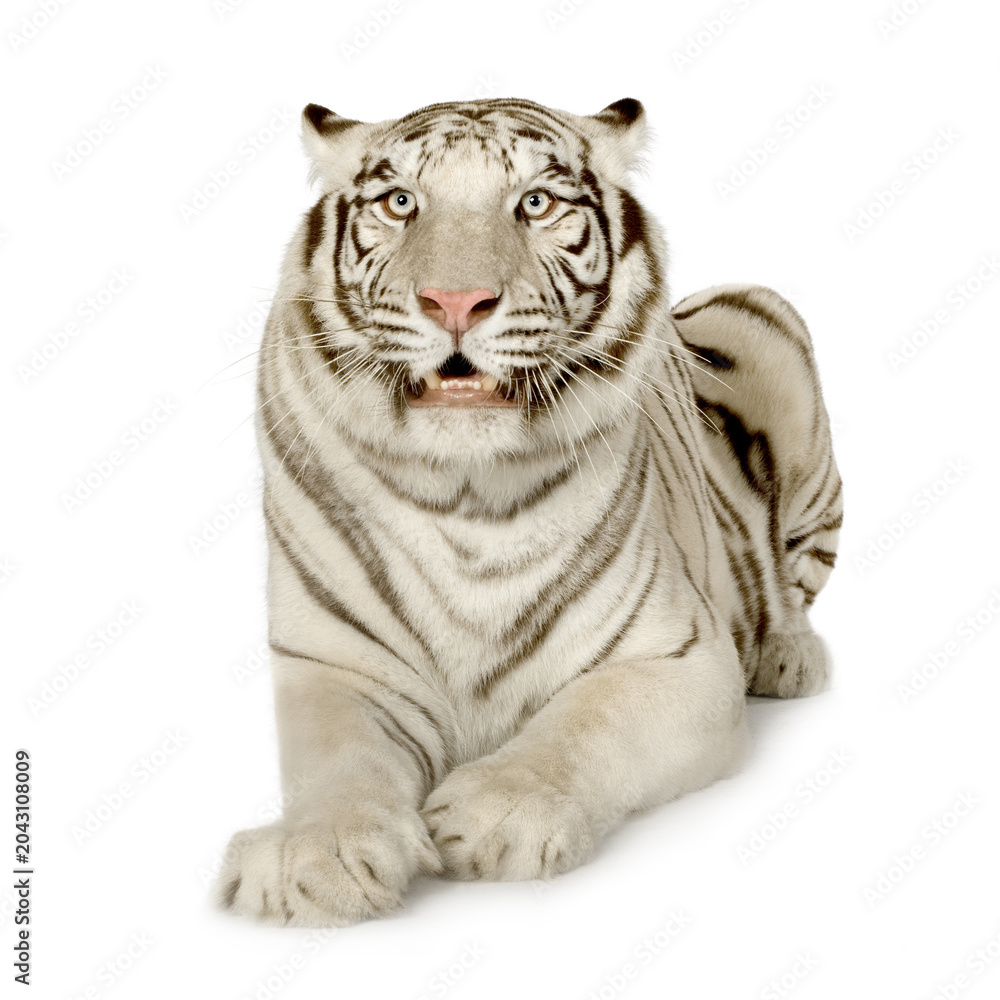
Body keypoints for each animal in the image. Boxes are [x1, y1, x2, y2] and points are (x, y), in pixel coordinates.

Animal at [215, 96, 842, 927]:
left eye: (535, 203)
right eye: (401, 202)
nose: (455, 303)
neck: (466, 491)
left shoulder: (679, 655)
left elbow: (584, 727)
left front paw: (496, 817)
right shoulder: (336, 661)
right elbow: (338, 760)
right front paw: (312, 858)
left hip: (765, 317)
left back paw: (789, 656)